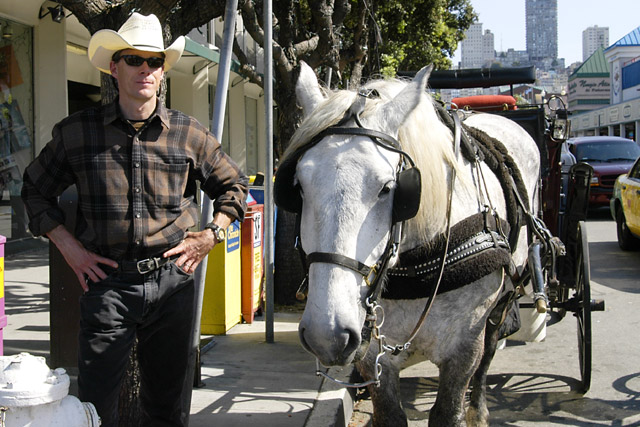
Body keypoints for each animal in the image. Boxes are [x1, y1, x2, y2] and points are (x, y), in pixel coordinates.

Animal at [276, 61, 540, 427]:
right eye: (298, 187)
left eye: (389, 188)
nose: (326, 335)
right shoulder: (373, 353)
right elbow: (389, 413)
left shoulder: (463, 348)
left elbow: (449, 409)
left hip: (504, 296)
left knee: (489, 348)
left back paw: (478, 408)